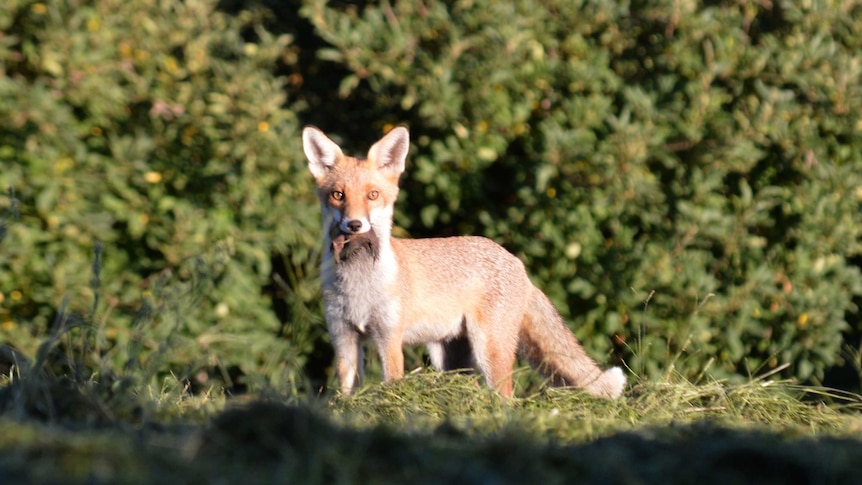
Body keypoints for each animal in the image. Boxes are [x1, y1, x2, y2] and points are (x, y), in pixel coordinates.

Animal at [304, 124, 628, 398]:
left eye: (372, 195)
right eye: (338, 195)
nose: (355, 225)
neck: (358, 285)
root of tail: (517, 263)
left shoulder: (389, 338)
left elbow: (391, 382)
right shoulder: (344, 337)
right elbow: (347, 390)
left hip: (490, 352)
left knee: (506, 398)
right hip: (450, 359)